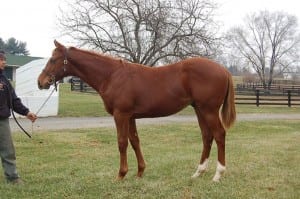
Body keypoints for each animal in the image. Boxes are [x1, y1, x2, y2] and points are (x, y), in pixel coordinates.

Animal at [37, 40, 236, 182]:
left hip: (209, 110)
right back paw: (198, 172)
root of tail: (223, 69)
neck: (112, 75)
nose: (40, 82)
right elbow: (135, 141)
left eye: (53, 60)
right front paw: (140, 172)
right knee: (207, 136)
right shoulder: (130, 116)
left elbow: (122, 143)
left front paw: (121, 174)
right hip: (199, 110)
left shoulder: (121, 115)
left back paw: (218, 175)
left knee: (219, 134)